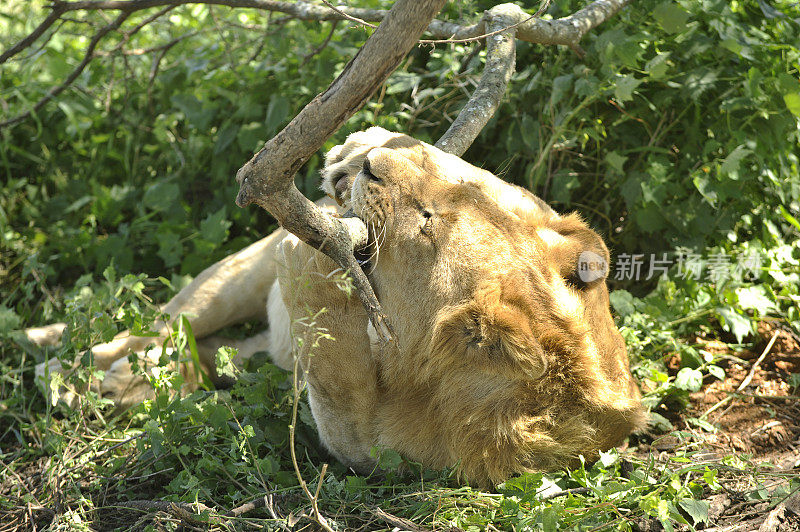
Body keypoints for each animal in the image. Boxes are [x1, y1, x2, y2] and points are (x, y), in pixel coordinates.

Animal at [28, 127, 648, 484]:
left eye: (428, 222)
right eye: (464, 191)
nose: (370, 163)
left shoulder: (366, 442)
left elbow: (335, 361)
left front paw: (320, 256)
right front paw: (365, 144)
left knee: (196, 357)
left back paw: (107, 383)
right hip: (229, 278)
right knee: (163, 323)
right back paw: (68, 359)